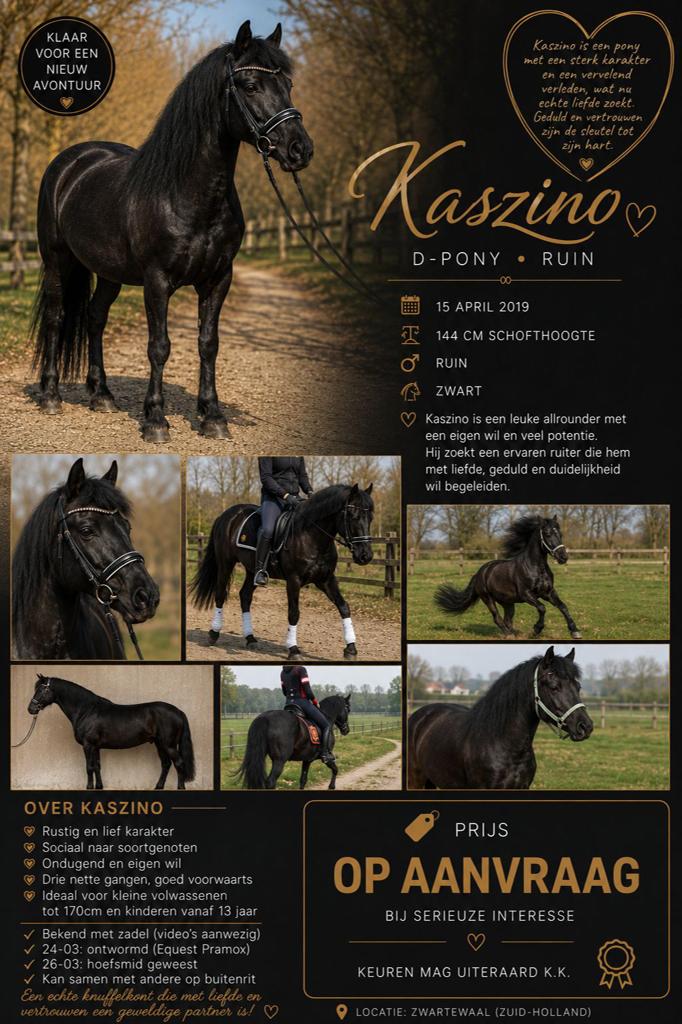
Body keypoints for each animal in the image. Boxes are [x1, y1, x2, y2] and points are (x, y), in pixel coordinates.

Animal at [27, 675, 196, 790]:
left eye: (42, 689)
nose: (31, 709)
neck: (86, 710)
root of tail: (178, 711)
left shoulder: (88, 745)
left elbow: (89, 767)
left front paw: (89, 787)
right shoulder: (96, 747)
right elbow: (97, 766)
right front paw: (99, 787)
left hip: (169, 745)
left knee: (179, 763)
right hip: (160, 744)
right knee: (166, 764)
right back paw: (158, 787)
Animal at [31, 21, 313, 443]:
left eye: (289, 84)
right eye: (250, 86)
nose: (301, 149)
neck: (187, 193)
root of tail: (69, 162)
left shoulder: (218, 279)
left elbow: (208, 344)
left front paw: (213, 417)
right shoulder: (157, 280)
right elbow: (159, 346)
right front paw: (155, 420)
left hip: (108, 271)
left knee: (96, 317)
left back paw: (102, 395)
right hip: (56, 261)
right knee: (55, 316)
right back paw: (50, 396)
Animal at [190, 483, 374, 660]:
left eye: (370, 517)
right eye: (352, 515)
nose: (365, 556)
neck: (311, 536)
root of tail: (226, 515)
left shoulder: (326, 579)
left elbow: (343, 607)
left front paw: (351, 648)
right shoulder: (294, 580)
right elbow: (294, 613)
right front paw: (293, 650)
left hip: (252, 570)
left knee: (245, 596)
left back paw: (250, 639)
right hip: (225, 564)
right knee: (220, 595)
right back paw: (213, 634)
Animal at [435, 514, 582, 639]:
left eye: (560, 534)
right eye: (547, 534)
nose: (563, 557)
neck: (536, 568)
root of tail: (480, 573)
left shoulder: (548, 592)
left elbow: (563, 606)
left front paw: (575, 631)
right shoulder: (527, 595)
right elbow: (542, 608)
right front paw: (536, 629)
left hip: (507, 602)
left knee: (507, 619)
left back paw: (512, 633)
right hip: (488, 599)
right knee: (497, 618)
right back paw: (509, 634)